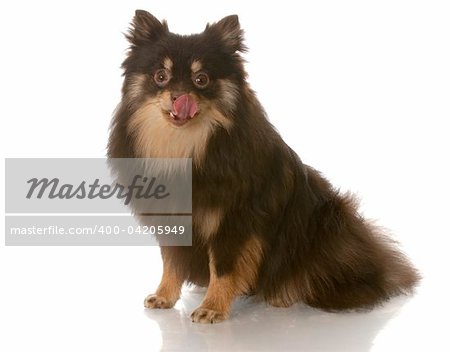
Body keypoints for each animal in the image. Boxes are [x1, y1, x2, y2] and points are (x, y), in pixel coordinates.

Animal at [107, 10, 420, 324]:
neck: (183, 147)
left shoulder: (234, 221)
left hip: (328, 223)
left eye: (201, 79)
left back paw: (286, 293)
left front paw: (213, 307)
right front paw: (165, 296)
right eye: (161, 76)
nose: (178, 96)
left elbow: (223, 267)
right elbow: (171, 263)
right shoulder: (171, 219)